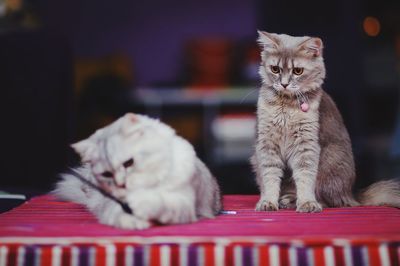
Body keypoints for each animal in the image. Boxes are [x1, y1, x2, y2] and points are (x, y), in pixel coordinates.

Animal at [53, 113, 222, 230]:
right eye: (107, 174)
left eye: (129, 163)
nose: (121, 184)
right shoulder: (112, 205)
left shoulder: (184, 204)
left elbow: (161, 204)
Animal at [252, 30, 400, 212]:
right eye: (275, 69)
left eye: (298, 71)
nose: (284, 84)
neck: (287, 105)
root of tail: (352, 194)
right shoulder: (267, 144)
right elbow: (270, 177)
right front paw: (268, 202)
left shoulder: (306, 144)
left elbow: (305, 177)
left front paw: (307, 203)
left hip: (328, 164)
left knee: (329, 201)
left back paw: (291, 201)